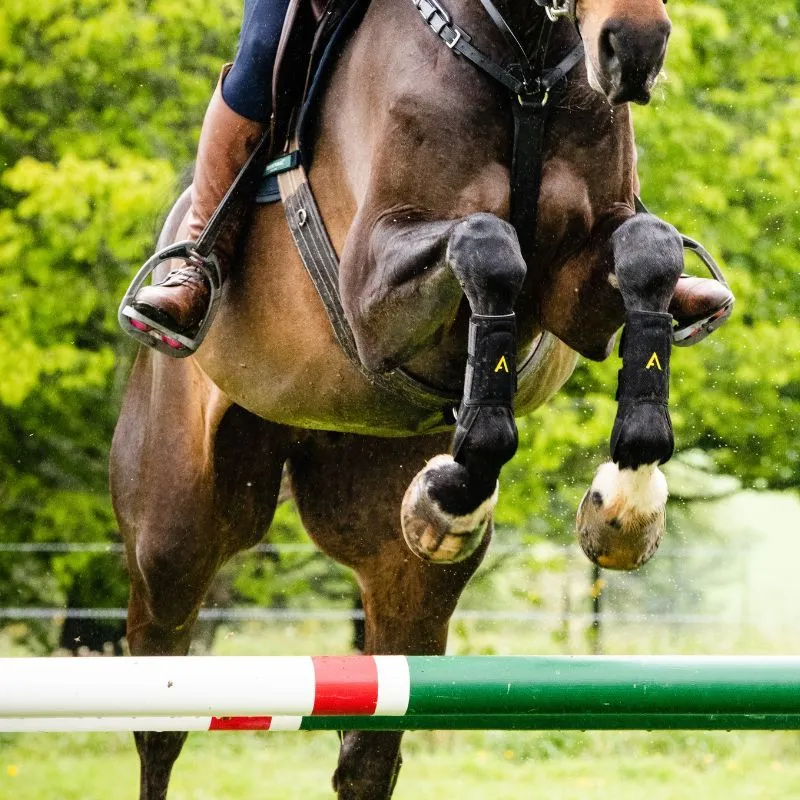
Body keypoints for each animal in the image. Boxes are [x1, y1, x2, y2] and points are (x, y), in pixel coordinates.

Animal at [109, 0, 728, 792]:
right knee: (160, 721)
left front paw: (626, 497)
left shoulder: (579, 289)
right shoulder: (370, 289)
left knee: (370, 751)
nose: (636, 50)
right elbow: (489, 245)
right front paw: (474, 477)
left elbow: (648, 250)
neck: (522, 61)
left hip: (397, 554)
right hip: (173, 537)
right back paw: (179, 295)